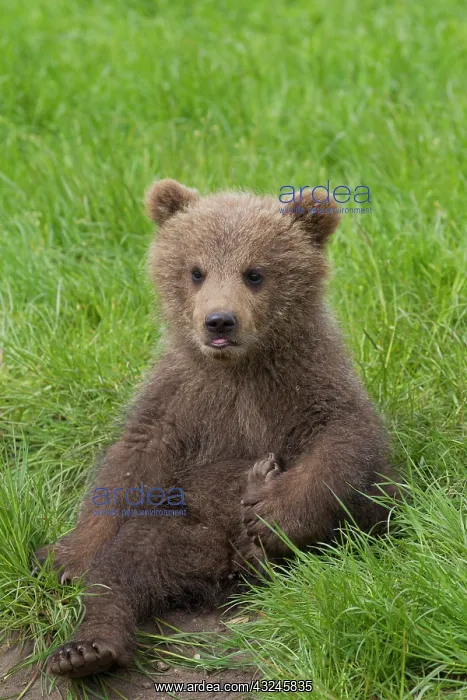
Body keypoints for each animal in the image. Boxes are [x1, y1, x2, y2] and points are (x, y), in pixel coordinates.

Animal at [36, 179, 398, 678]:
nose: (219, 321)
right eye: (196, 271)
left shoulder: (308, 380)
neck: (239, 367)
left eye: (255, 273)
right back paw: (88, 649)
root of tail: (227, 567)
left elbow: (344, 440)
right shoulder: (180, 396)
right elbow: (130, 465)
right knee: (129, 561)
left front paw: (273, 511)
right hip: (185, 526)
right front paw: (69, 556)